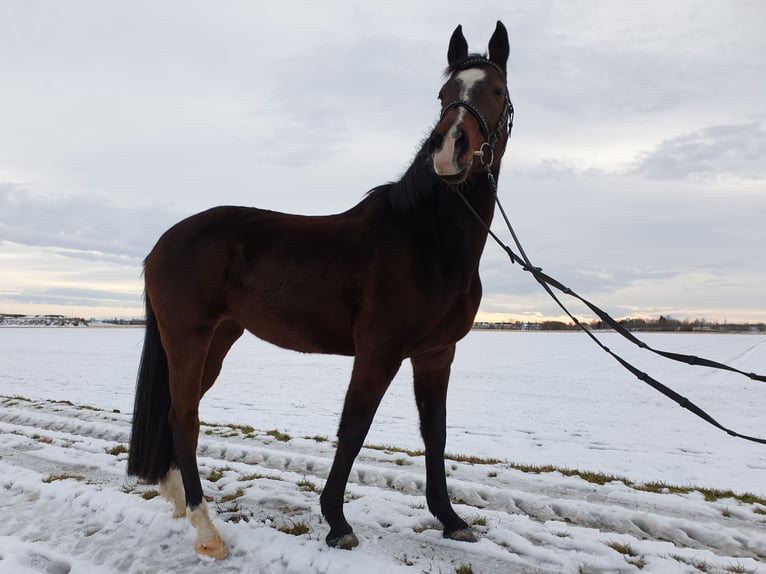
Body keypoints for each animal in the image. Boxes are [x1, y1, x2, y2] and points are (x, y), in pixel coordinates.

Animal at [129, 22, 516, 564]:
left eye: (496, 91)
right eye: (443, 96)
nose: (449, 152)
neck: (426, 237)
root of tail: (165, 242)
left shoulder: (437, 354)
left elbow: (435, 433)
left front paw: (451, 519)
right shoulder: (378, 352)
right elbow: (353, 430)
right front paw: (337, 522)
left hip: (218, 339)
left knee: (173, 411)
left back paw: (176, 497)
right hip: (190, 338)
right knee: (185, 417)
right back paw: (207, 530)